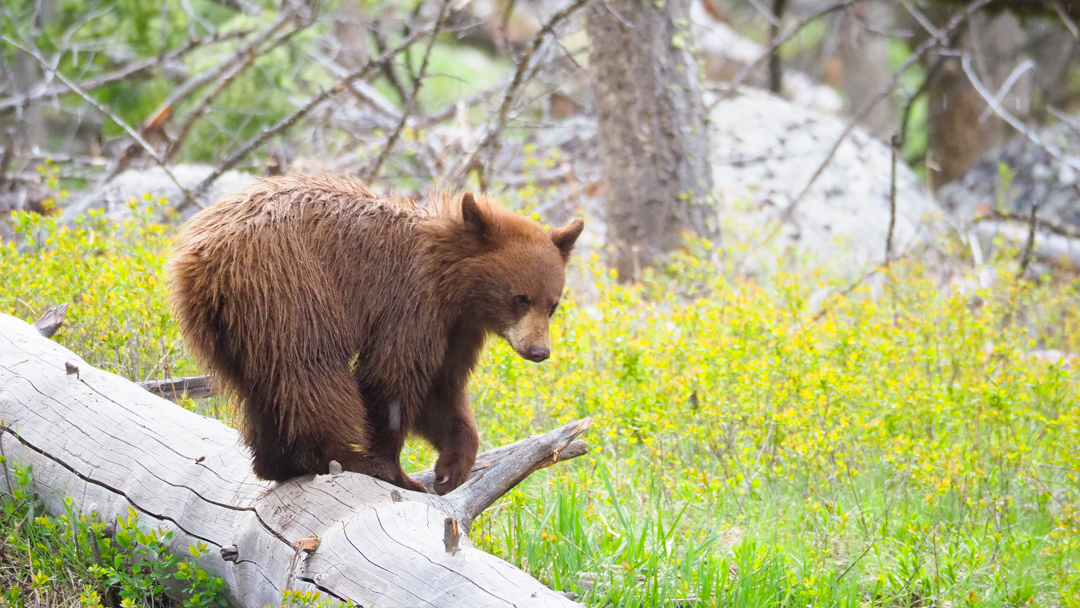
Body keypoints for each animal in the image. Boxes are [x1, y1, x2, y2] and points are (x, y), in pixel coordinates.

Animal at [169, 174, 587, 494]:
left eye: (552, 304)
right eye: (520, 298)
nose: (539, 351)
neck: (453, 283)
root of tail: (205, 258)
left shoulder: (457, 327)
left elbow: (440, 390)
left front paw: (450, 469)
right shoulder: (412, 304)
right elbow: (392, 378)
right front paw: (397, 470)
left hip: (228, 325)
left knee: (259, 387)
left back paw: (278, 463)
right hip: (289, 288)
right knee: (311, 370)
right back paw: (343, 457)